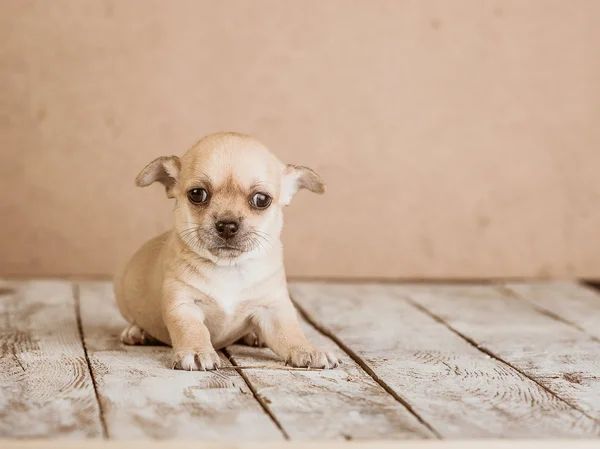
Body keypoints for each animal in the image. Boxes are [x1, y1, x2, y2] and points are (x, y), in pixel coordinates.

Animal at [112, 131, 338, 370]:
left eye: (261, 200)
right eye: (197, 194)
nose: (227, 225)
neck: (229, 268)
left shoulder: (273, 309)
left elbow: (291, 333)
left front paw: (308, 349)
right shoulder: (183, 305)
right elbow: (192, 329)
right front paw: (196, 351)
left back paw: (254, 335)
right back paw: (137, 332)